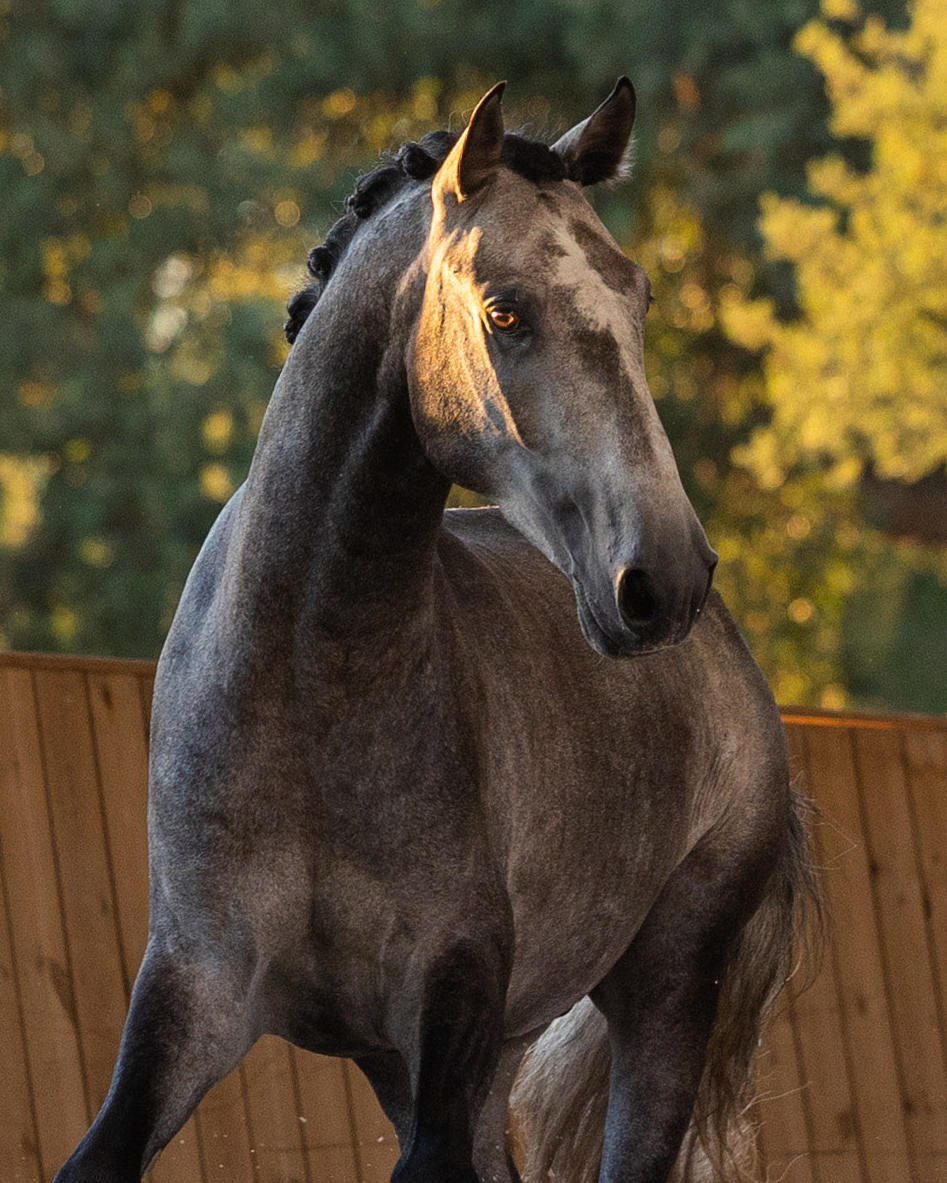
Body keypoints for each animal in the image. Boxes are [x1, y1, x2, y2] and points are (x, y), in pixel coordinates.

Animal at [54, 79, 814, 1183]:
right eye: (504, 311)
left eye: (636, 300)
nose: (662, 575)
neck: (309, 686)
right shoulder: (197, 989)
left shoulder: (450, 998)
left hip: (665, 991)